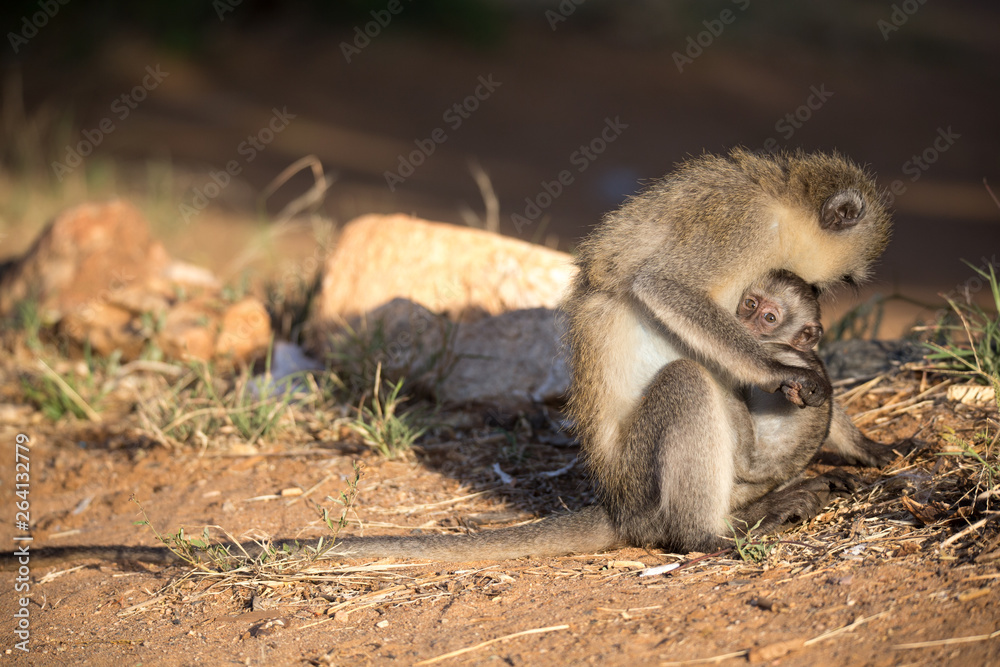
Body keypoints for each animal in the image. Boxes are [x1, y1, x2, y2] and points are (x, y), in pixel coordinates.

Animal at [6, 149, 895, 569]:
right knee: (686, 382)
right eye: (840, 279)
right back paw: (705, 534)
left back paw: (771, 504)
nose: (827, 302)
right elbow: (662, 285)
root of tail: (616, 501)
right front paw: (782, 374)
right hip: (645, 478)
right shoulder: (736, 227)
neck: (780, 198)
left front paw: (870, 444)